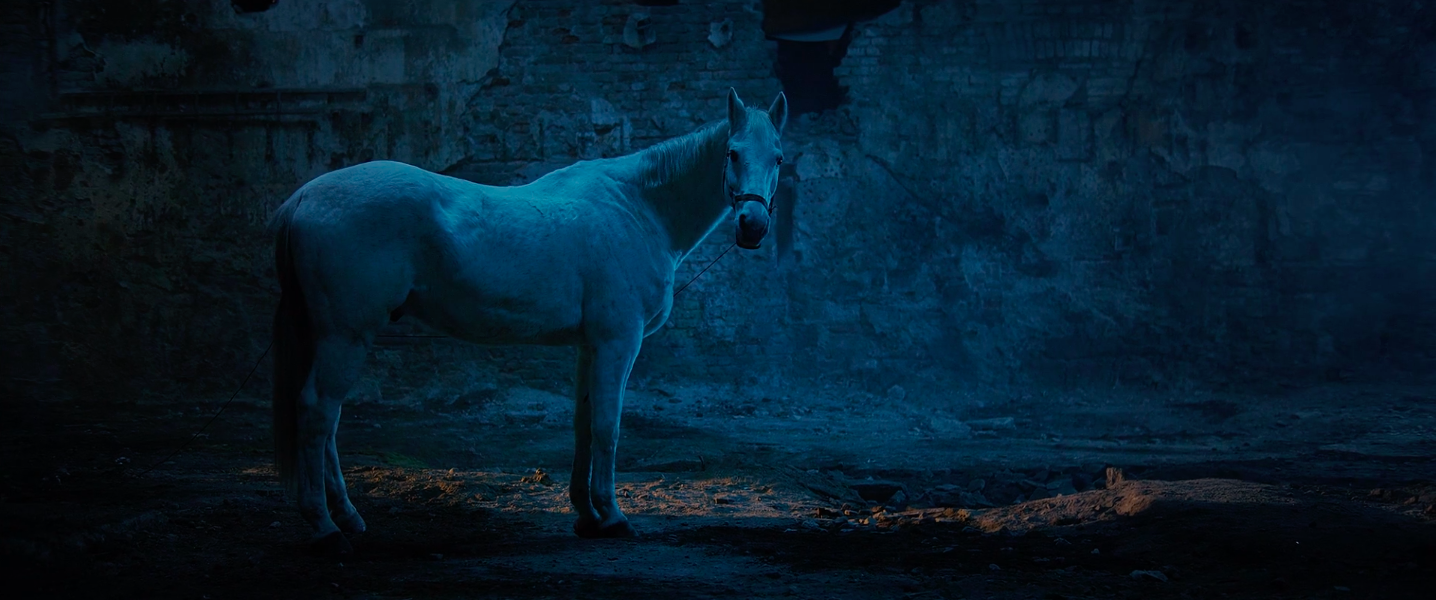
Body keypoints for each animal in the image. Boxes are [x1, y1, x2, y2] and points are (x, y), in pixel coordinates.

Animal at [267, 88, 788, 553]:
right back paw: (324, 527)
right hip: (346, 336)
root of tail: (304, 197)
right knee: (317, 412)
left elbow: (584, 424)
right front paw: (613, 516)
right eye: (733, 153)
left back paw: (348, 517)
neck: (638, 208)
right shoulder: (618, 342)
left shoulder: (589, 346)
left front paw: (586, 515)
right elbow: (608, 427)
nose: (753, 226)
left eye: (779, 158)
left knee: (328, 421)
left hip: (331, 338)